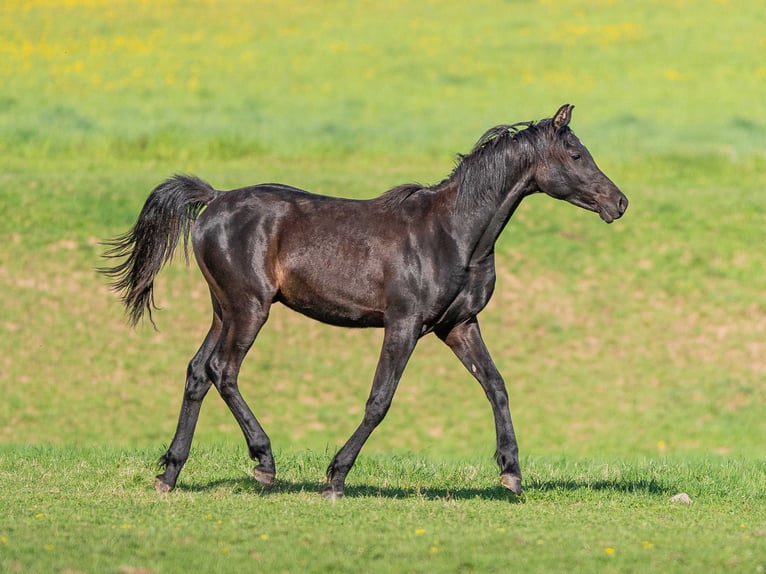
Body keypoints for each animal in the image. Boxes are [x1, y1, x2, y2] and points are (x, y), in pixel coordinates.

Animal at [100, 104, 628, 499]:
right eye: (576, 154)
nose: (618, 203)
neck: (452, 234)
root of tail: (215, 198)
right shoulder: (404, 324)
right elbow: (380, 399)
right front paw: (335, 477)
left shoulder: (459, 325)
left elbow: (496, 385)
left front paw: (511, 473)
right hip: (249, 308)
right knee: (222, 371)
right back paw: (264, 463)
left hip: (222, 310)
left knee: (196, 372)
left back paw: (169, 473)